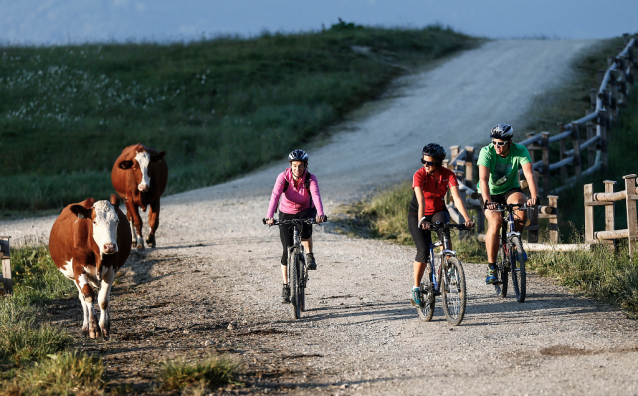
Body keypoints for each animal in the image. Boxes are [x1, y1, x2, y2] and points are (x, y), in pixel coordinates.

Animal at [49, 194, 132, 338]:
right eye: (94, 222)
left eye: (116, 221)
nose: (110, 246)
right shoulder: (78, 269)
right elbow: (88, 296)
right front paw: (93, 327)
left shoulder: (111, 269)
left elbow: (103, 299)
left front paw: (103, 326)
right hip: (73, 276)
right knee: (83, 298)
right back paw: (85, 326)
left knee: (101, 294)